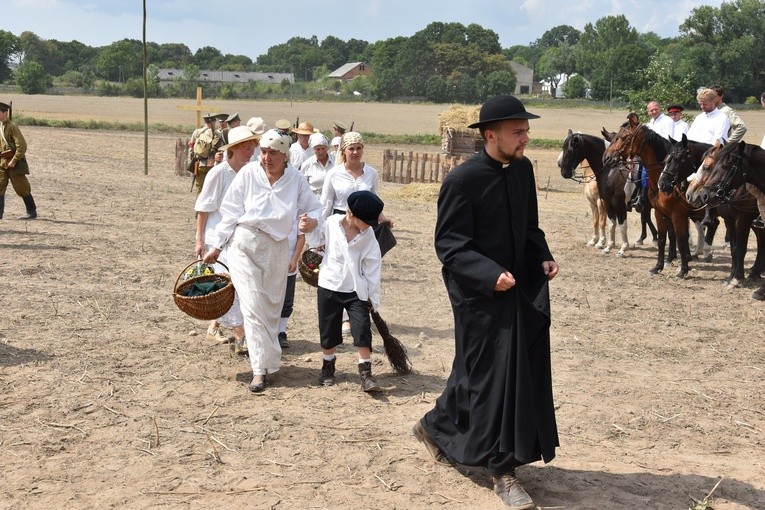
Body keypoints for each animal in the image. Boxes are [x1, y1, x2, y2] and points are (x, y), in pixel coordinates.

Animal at [604, 115, 704, 276]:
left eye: (623, 137)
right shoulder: (660, 211)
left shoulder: (677, 213)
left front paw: (680, 266)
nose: (606, 157)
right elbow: (665, 236)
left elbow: (677, 237)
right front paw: (661, 264)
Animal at [656, 135, 764, 286]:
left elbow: (740, 248)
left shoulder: (743, 220)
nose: (662, 184)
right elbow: (734, 248)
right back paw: (755, 272)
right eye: (666, 159)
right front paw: (731, 276)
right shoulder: (729, 220)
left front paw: (737, 278)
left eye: (678, 159)